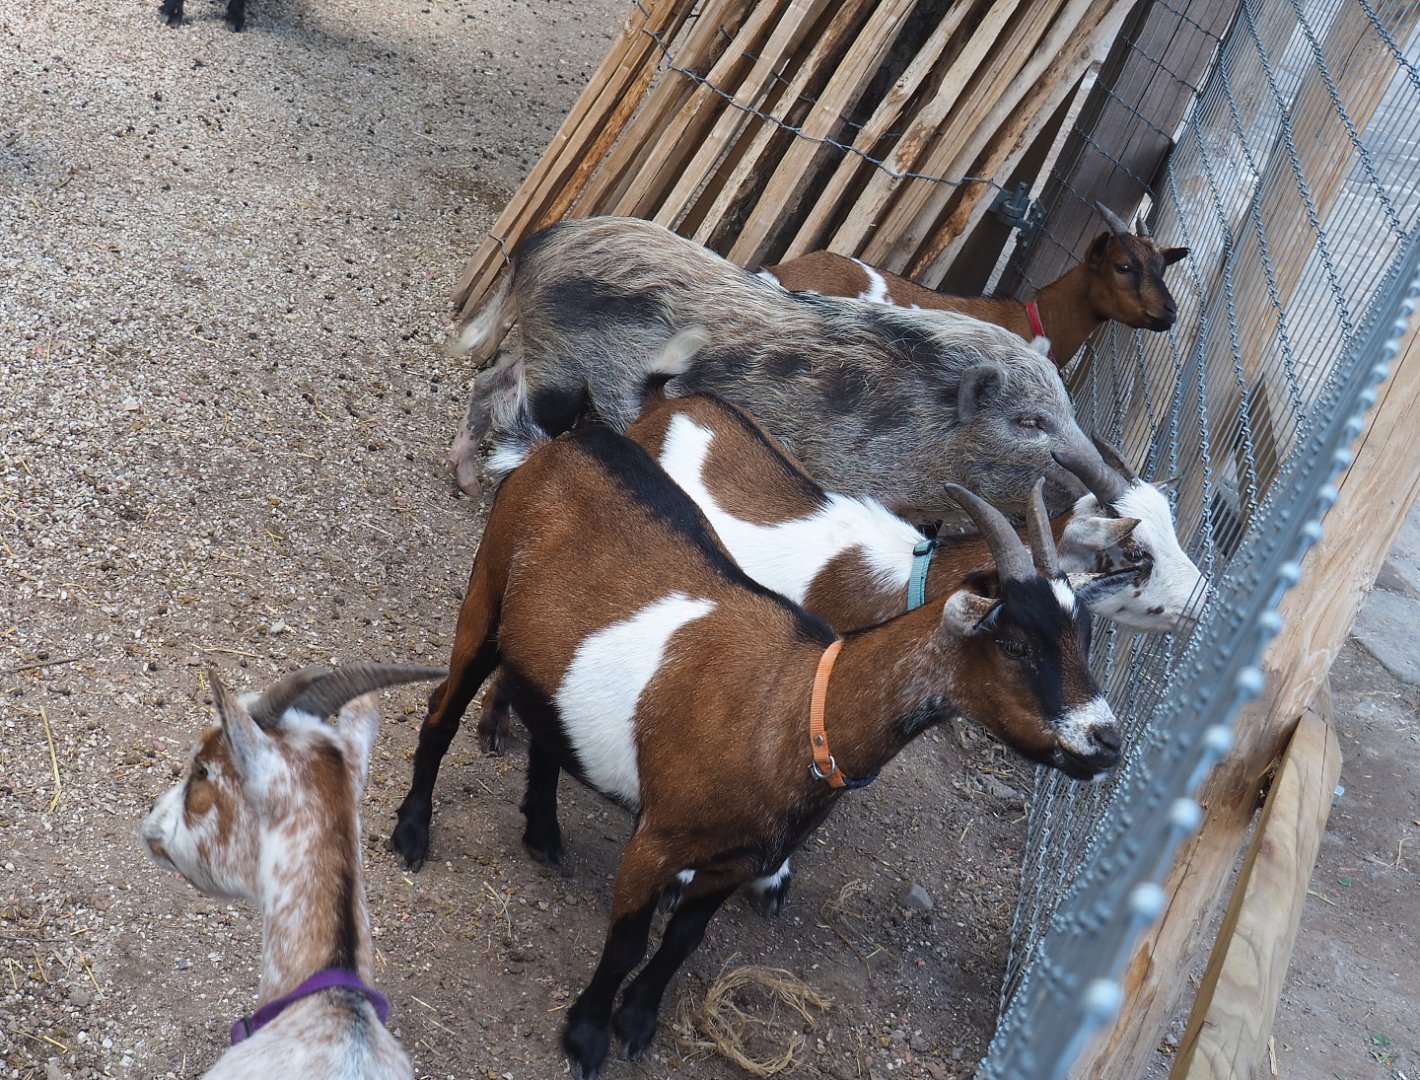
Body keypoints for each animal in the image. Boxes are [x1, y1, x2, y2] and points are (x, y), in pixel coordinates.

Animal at [388, 420, 1119, 1078]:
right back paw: (412, 833)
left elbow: (684, 940)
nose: (1106, 740)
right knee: (440, 711)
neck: (793, 709)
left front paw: (637, 1021)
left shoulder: (734, 860)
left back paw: (542, 833)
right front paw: (587, 1037)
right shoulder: (658, 839)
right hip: (486, 597)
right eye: (1016, 643)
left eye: (1082, 634)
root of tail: (568, 440)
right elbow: (626, 942)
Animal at [447, 216, 1099, 520]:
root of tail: (546, 239)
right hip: (560, 365)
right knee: (515, 409)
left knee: (488, 384)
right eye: (1030, 422)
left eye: (1070, 411)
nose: (1102, 484)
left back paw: (465, 481)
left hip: (535, 350)